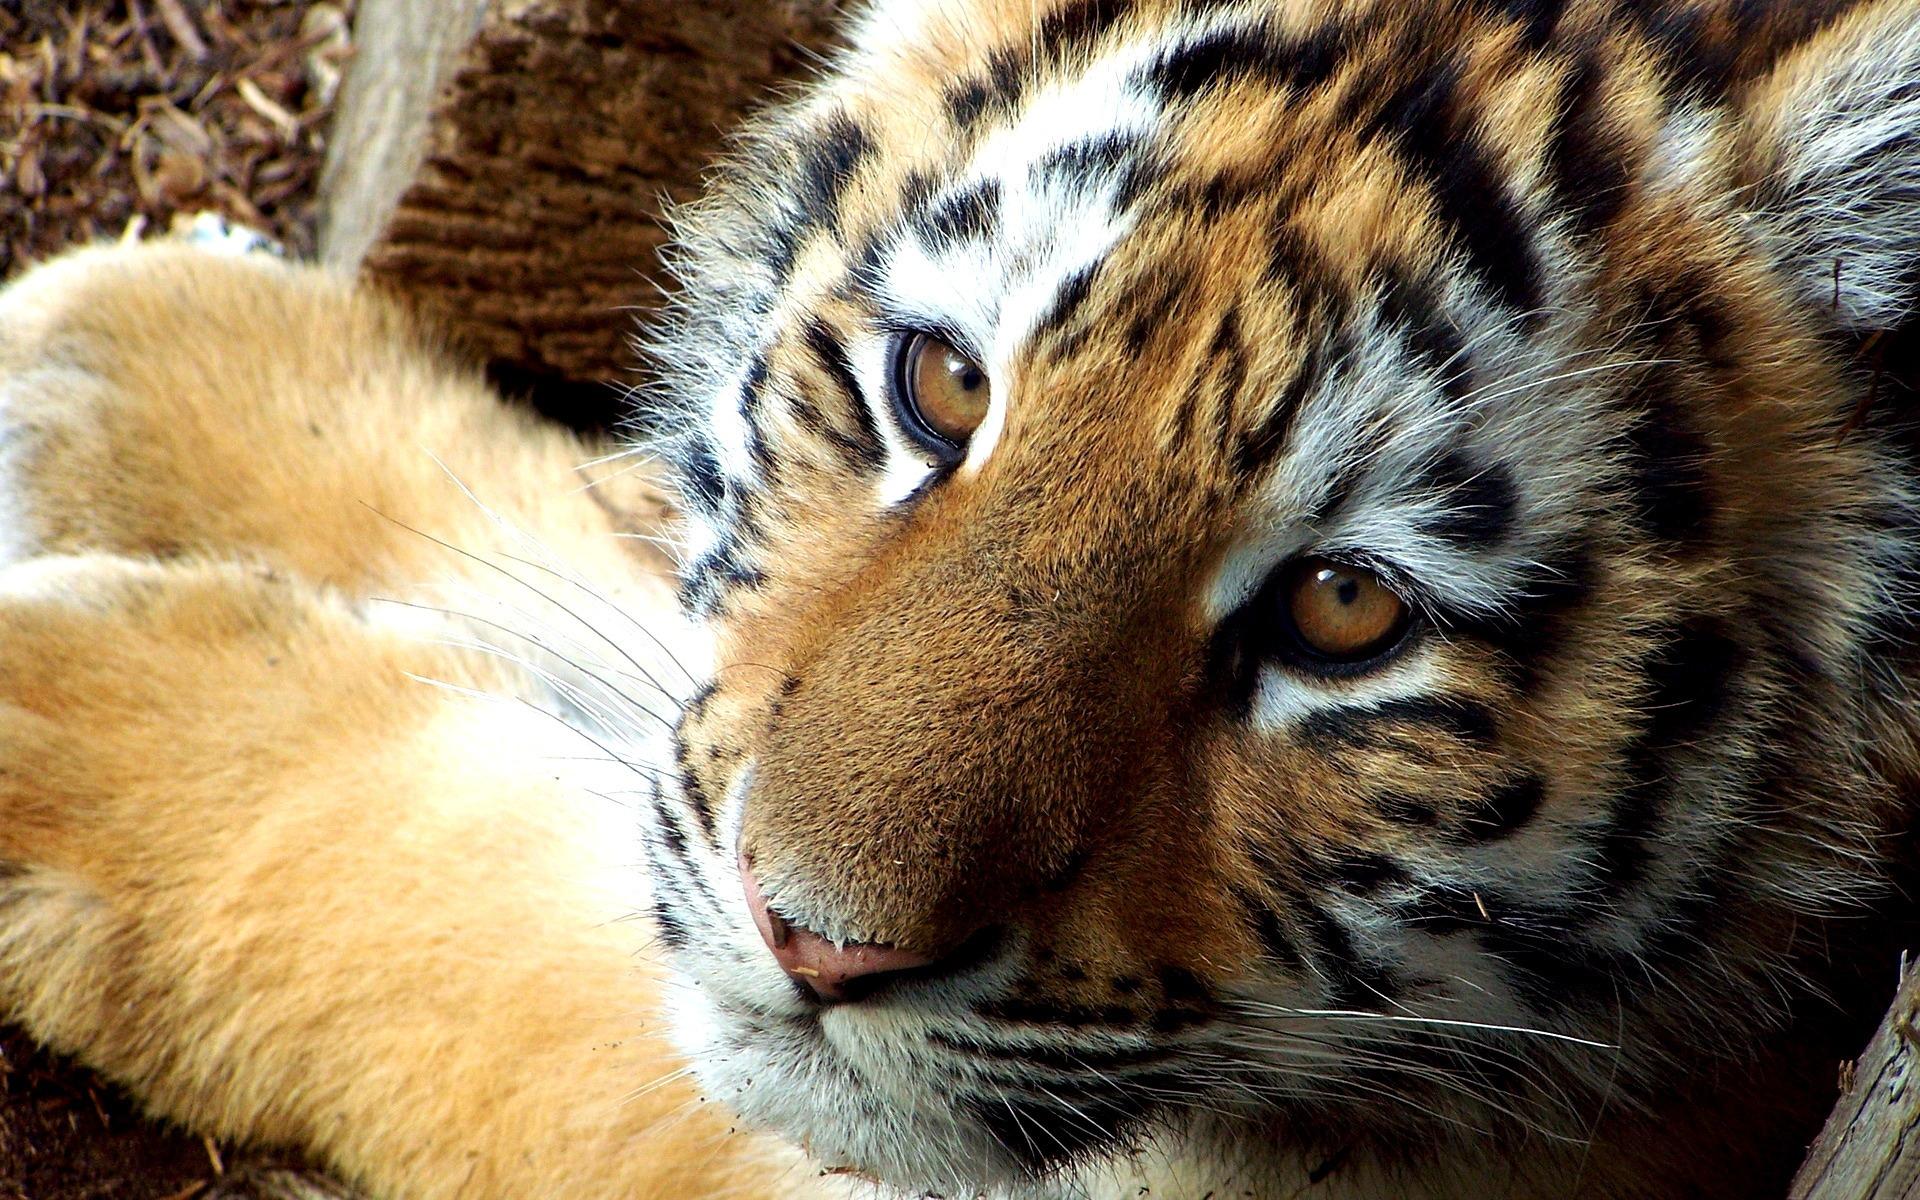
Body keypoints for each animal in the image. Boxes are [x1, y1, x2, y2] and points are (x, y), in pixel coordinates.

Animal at [3, 0, 1920, 1197]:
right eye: (937, 386)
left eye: (1345, 613)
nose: (813, 942)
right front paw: (132, 368)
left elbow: (475, 916)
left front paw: (71, 728)